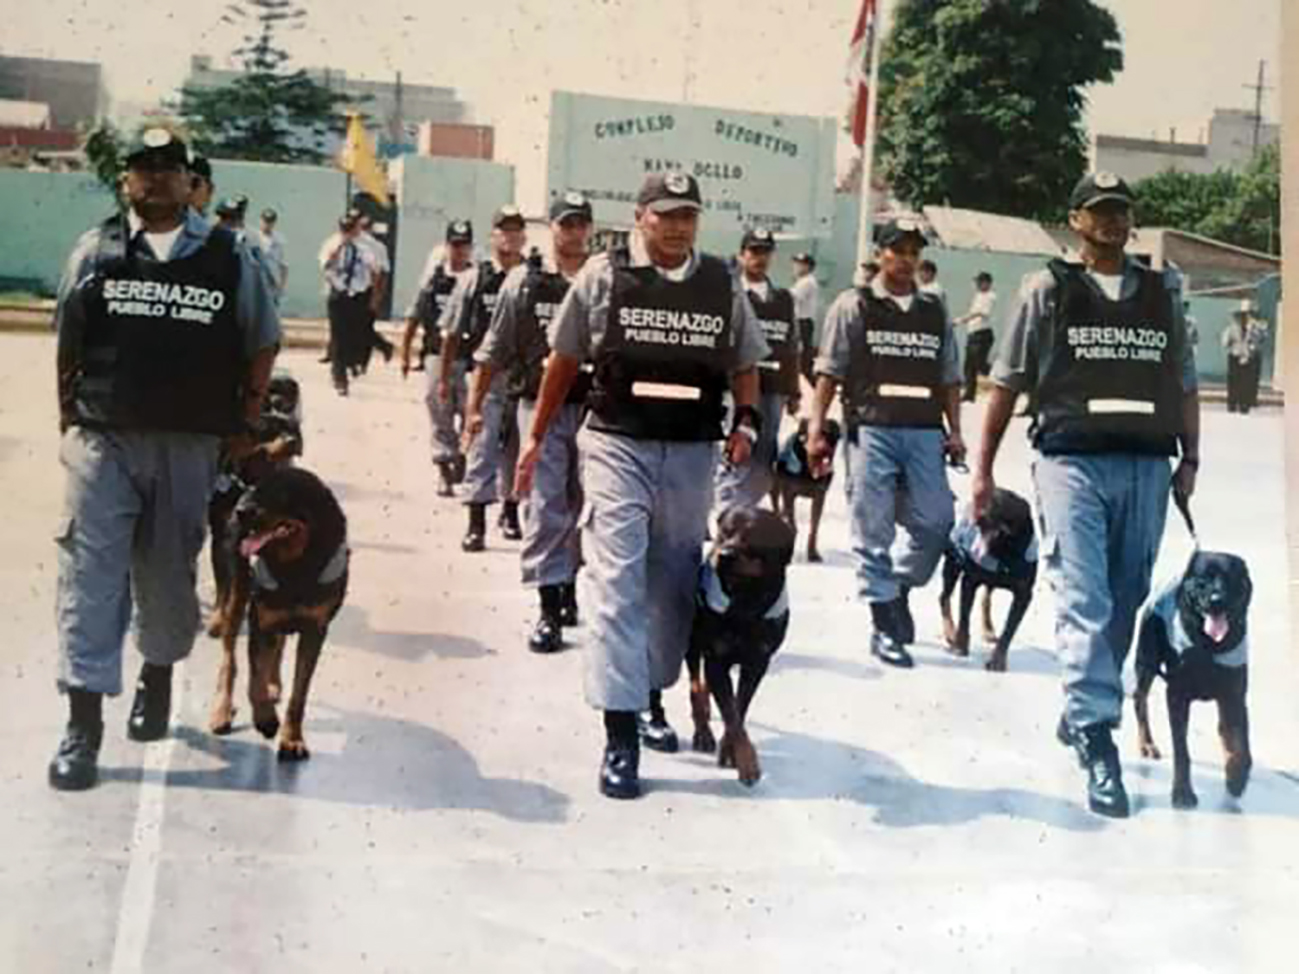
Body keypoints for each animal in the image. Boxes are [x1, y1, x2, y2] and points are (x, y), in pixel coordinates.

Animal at [205, 467, 345, 763]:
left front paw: (292, 740)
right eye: (256, 489)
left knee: (277, 647)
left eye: (281, 493)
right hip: (237, 595)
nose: (240, 511)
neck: (295, 565)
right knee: (229, 658)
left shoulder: (315, 631)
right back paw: (222, 709)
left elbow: (299, 694)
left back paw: (273, 684)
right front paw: (266, 720)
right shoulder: (260, 621)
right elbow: (253, 679)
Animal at [685, 506, 794, 789]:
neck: (746, 600)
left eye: (753, 535)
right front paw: (748, 764)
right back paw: (702, 732)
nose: (724, 554)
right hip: (692, 642)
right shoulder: (716, 659)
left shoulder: (757, 663)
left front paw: (729, 750)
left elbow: (739, 708)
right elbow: (732, 715)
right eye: (725, 532)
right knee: (695, 684)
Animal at [769, 420, 841, 563]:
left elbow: (814, 526)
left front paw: (813, 554)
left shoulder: (819, 496)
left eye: (832, 435)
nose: (825, 449)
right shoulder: (788, 493)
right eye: (818, 433)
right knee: (775, 500)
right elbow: (792, 524)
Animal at [940, 488, 1039, 670]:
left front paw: (997, 660)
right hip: (953, 563)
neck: (1004, 552)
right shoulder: (969, 580)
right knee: (944, 597)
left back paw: (988, 630)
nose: (973, 515)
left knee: (986, 596)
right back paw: (950, 632)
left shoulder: (1024, 594)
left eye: (994, 505)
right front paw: (960, 646)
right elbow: (964, 618)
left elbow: (1009, 629)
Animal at [1132, 553, 1252, 810]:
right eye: (1202, 580)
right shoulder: (1177, 696)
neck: (1210, 646)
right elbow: (1182, 751)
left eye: (1231, 578)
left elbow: (1242, 746)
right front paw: (1182, 793)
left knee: (1223, 730)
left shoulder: (1235, 696)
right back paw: (1146, 744)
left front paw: (1236, 778)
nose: (1217, 601)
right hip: (1146, 662)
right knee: (1140, 700)